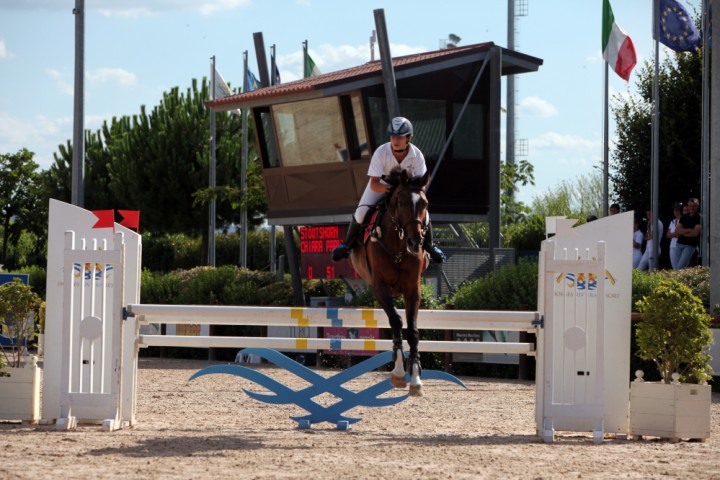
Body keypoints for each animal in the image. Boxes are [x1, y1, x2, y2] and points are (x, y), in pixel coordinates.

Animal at [350, 167, 430, 396]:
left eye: (425, 204)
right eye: (401, 202)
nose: (415, 241)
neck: (399, 246)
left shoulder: (412, 289)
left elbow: (412, 330)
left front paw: (416, 378)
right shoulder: (380, 288)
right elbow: (396, 321)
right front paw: (398, 371)